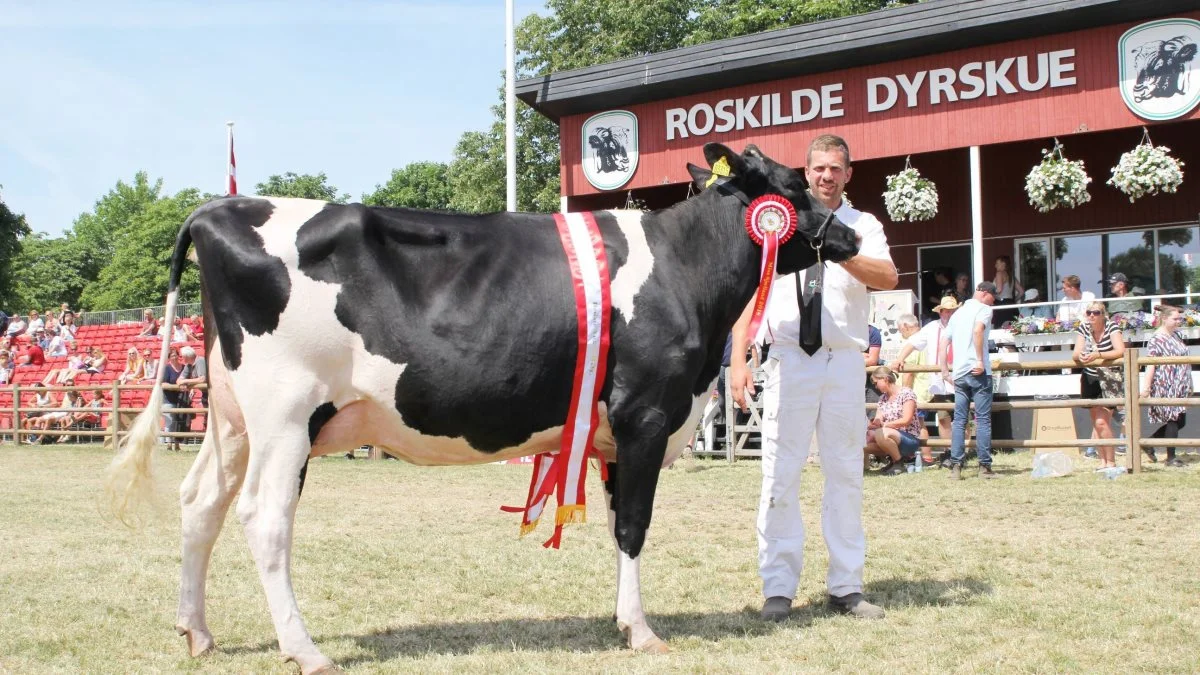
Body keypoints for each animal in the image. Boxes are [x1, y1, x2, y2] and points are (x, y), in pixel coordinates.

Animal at [108, 141, 859, 672]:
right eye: (796, 185)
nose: (850, 236)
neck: (682, 270)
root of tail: (217, 209)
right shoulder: (647, 413)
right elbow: (634, 526)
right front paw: (644, 632)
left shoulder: (612, 434)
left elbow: (616, 522)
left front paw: (623, 619)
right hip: (286, 414)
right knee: (263, 518)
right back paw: (306, 650)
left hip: (232, 419)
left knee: (199, 502)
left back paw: (197, 632)